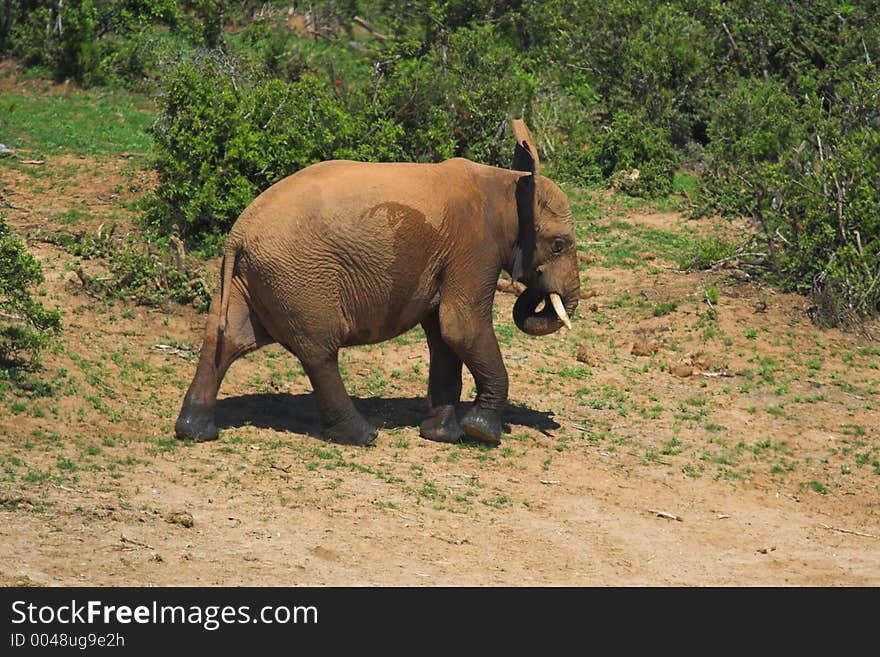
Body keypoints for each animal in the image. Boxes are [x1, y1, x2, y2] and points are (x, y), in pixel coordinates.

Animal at [174, 118, 580, 446]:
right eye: (559, 245)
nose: (538, 290)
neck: (509, 185)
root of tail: (238, 232)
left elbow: (443, 336)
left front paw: (443, 437)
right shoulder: (473, 247)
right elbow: (460, 327)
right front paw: (482, 433)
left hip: (248, 276)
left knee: (227, 339)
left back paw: (194, 431)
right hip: (299, 277)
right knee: (318, 350)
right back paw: (361, 436)